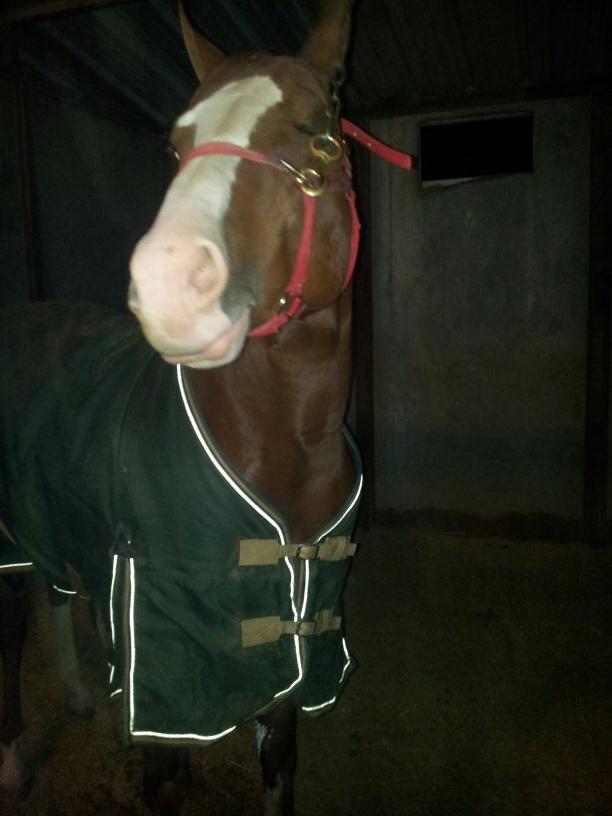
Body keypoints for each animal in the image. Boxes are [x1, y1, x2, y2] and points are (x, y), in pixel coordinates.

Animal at [0, 2, 360, 813]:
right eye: (175, 143)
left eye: (314, 131)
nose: (168, 284)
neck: (281, 457)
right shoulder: (165, 691)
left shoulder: (287, 670)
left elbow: (279, 771)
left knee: (55, 591)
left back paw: (76, 695)